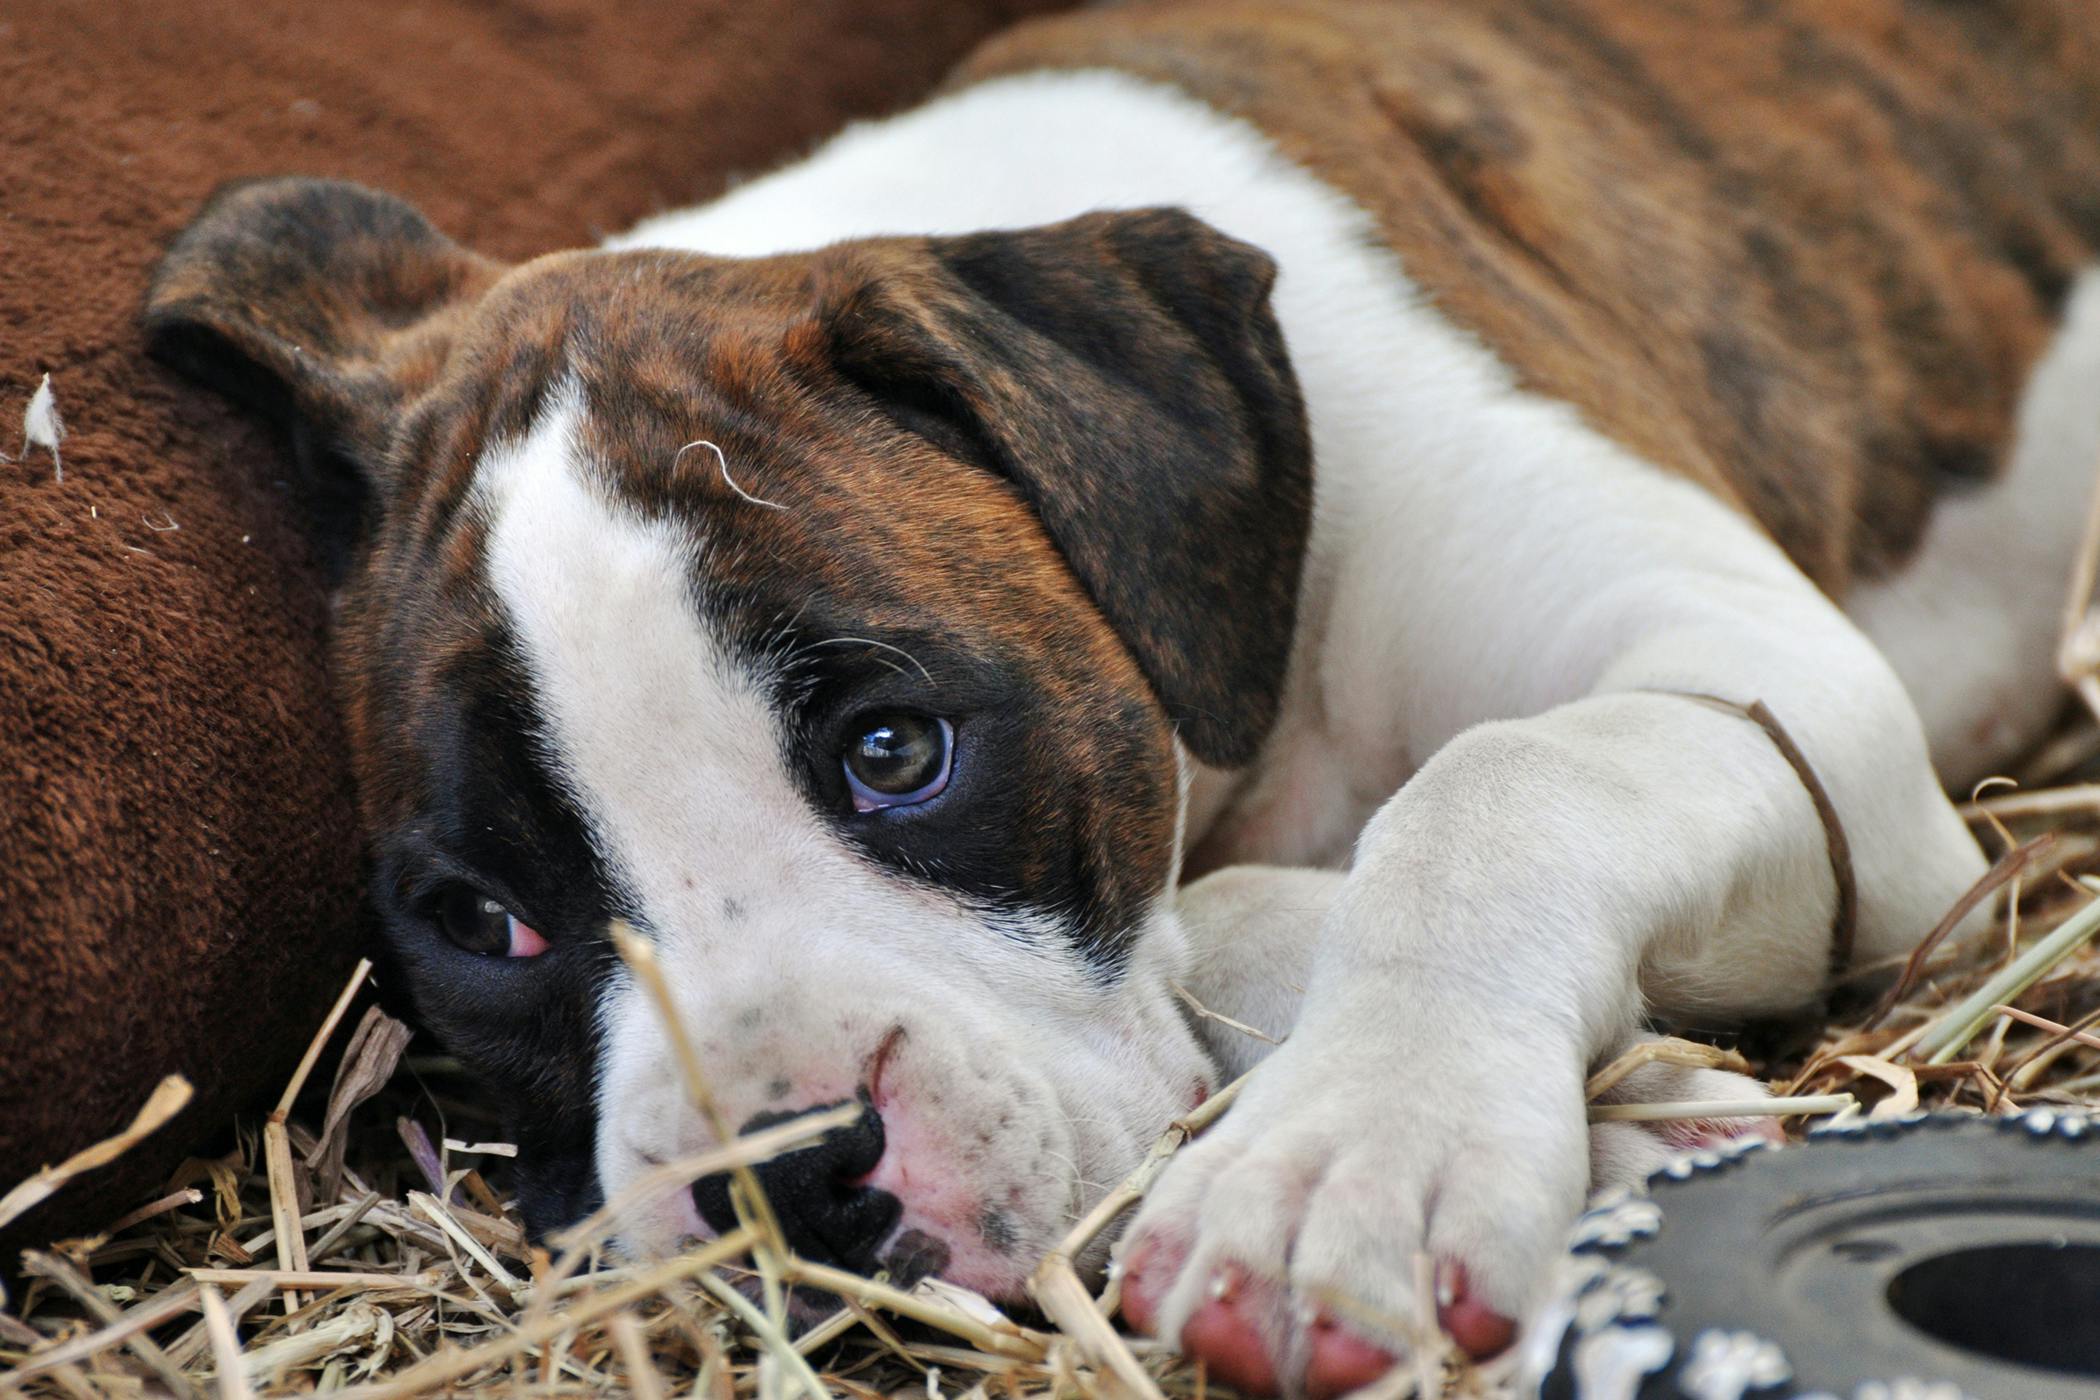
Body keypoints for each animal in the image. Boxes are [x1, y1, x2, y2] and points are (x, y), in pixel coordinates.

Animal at [143, 2, 2100, 1393]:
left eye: (895, 752)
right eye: (486, 925)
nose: (788, 1176)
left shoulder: (1785, 697)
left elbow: (1492, 790)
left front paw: (1354, 1162)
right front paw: (1616, 1116)